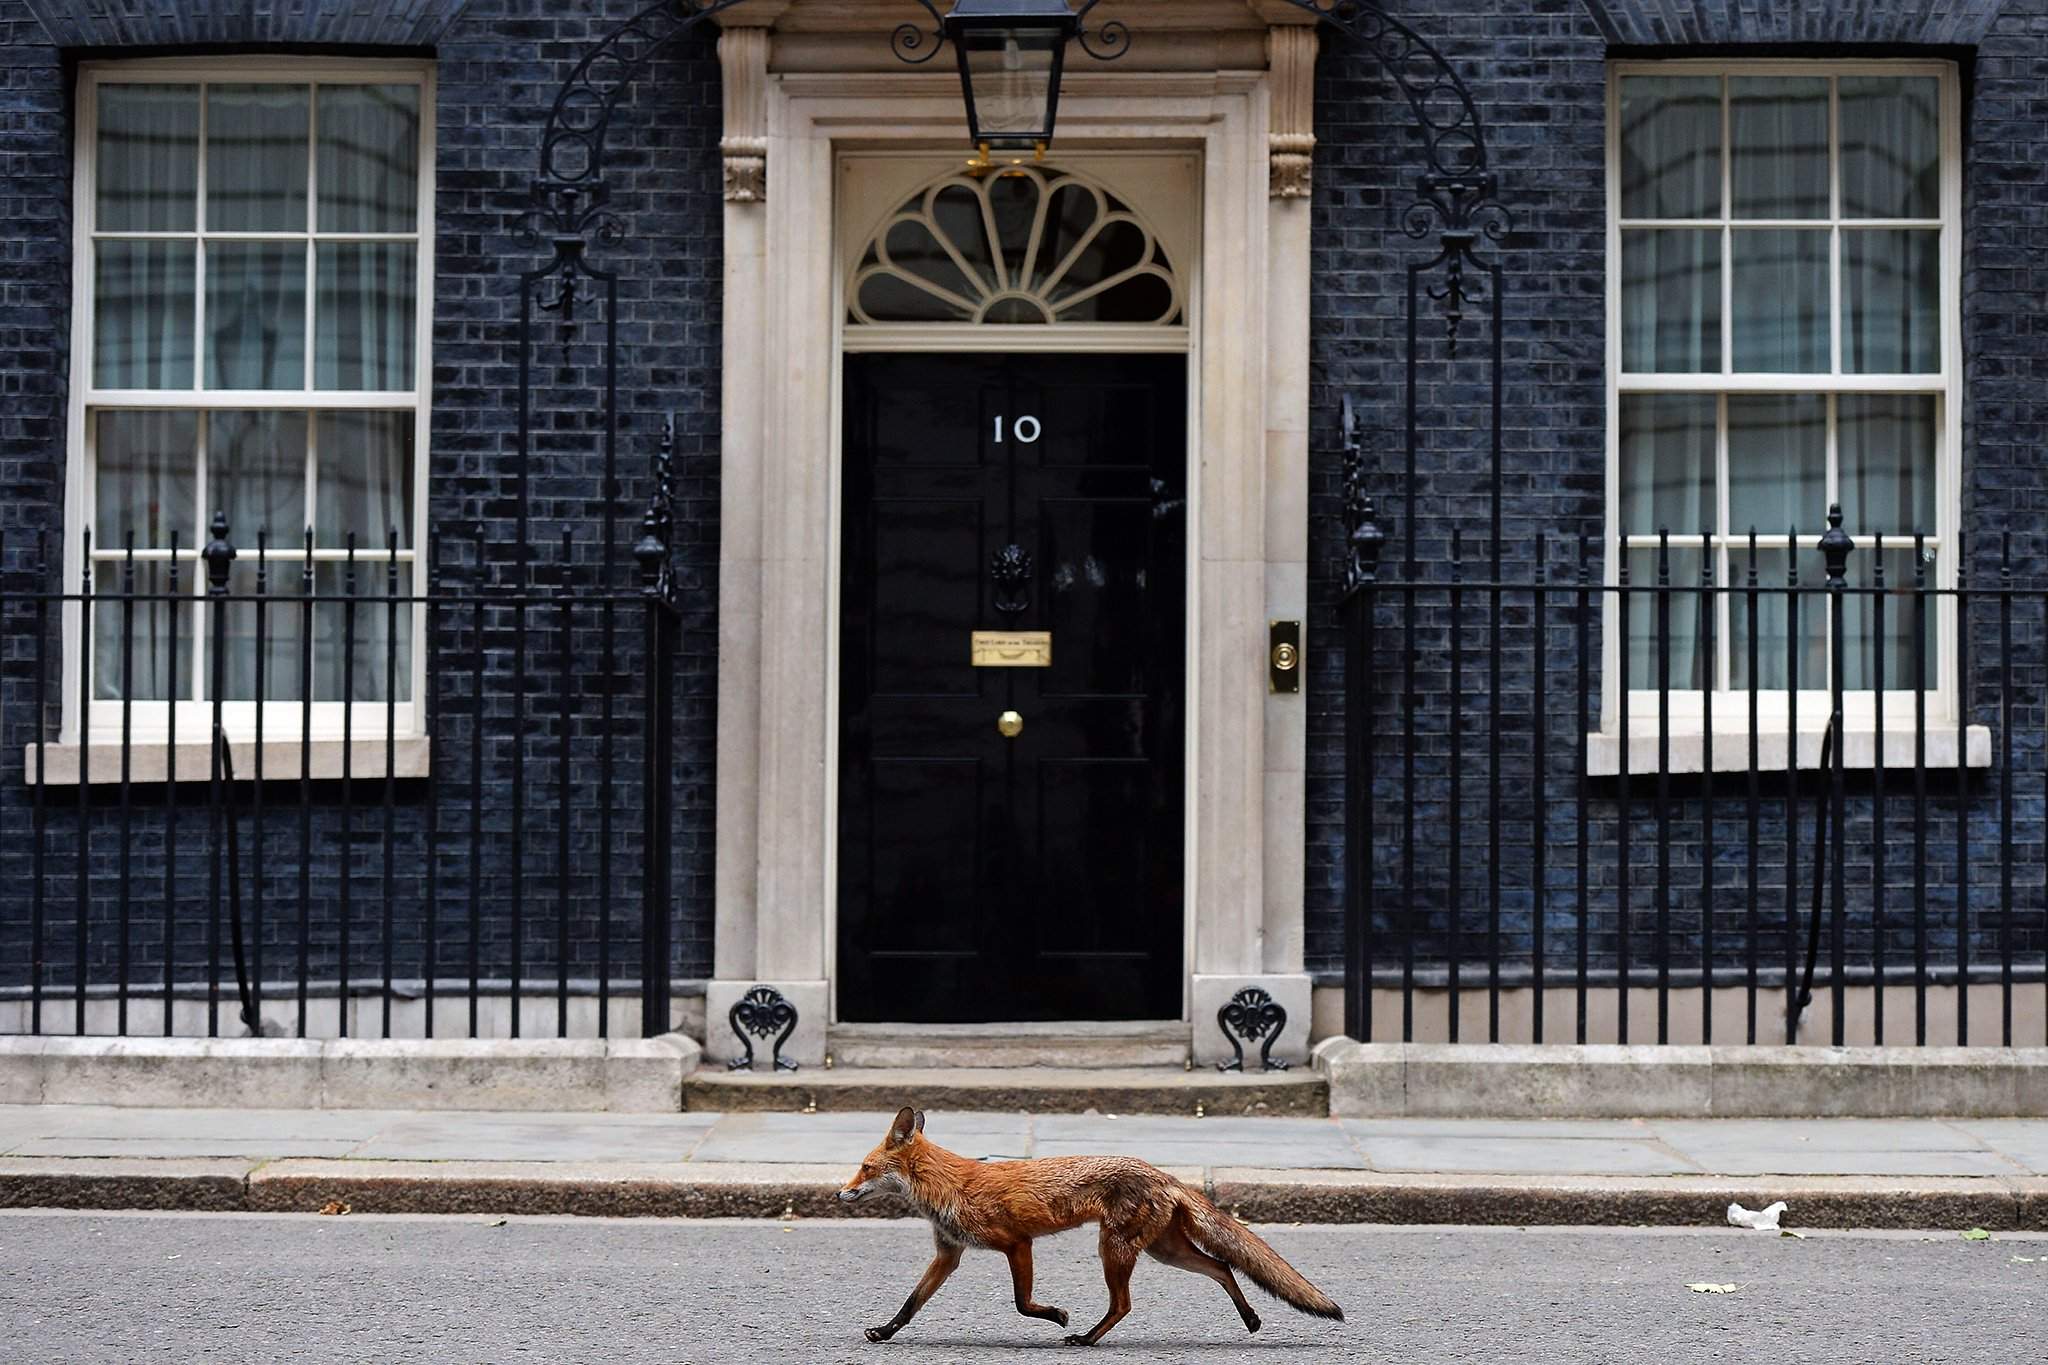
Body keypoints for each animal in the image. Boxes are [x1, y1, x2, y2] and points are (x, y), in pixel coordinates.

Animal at [835, 1105, 1343, 1350]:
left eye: (864, 1167)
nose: (840, 1193)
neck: (947, 1186)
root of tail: (1163, 1173)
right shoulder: (949, 1253)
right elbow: (911, 1303)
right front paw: (884, 1332)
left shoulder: (1017, 1244)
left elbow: (1022, 1303)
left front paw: (1058, 1315)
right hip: (1164, 1251)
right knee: (1222, 1267)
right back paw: (1251, 1319)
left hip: (1114, 1249)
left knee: (1124, 1304)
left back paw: (1084, 1338)